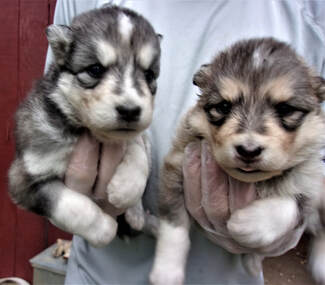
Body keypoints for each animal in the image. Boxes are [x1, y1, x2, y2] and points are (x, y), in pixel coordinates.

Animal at [7, 6, 159, 246]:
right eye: (95, 69)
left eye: (149, 74)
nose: (130, 111)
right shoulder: (25, 177)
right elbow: (71, 206)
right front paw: (104, 227)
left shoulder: (136, 137)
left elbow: (137, 148)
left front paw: (127, 187)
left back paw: (137, 215)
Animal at [149, 38, 324, 284]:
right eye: (223, 106)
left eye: (285, 109)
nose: (248, 150)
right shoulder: (177, 166)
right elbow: (174, 226)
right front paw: (166, 271)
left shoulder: (310, 182)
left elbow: (290, 206)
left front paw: (249, 223)